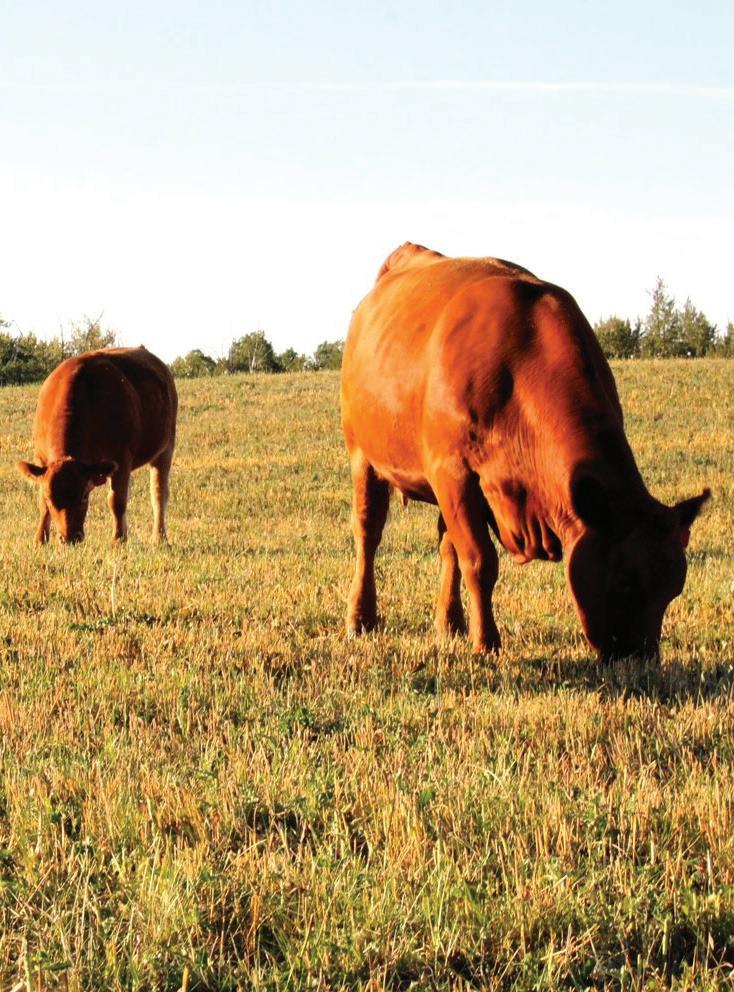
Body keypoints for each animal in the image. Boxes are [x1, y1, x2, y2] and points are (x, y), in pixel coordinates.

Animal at [17, 347, 177, 545]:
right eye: (50, 498)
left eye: (84, 497)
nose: (69, 538)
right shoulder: (41, 459)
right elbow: (42, 505)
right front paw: (40, 540)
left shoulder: (121, 458)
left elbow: (117, 501)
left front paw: (118, 540)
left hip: (166, 448)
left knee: (159, 493)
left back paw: (159, 537)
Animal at [341, 243, 710, 662]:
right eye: (624, 579)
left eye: (674, 588)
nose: (641, 658)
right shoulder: (453, 473)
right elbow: (479, 560)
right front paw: (487, 643)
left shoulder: (464, 487)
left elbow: (459, 550)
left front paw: (470, 632)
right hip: (363, 455)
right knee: (368, 533)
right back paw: (361, 618)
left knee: (446, 546)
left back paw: (450, 623)